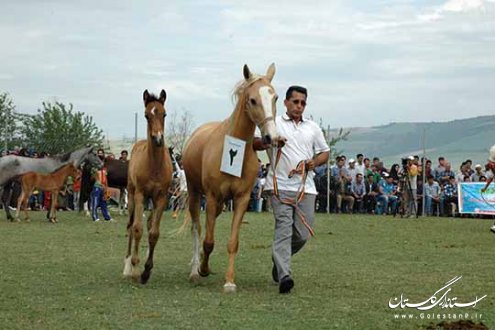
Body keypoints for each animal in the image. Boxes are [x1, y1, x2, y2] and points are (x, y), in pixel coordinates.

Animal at [123, 89, 173, 284]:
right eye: (146, 115)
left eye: (164, 114)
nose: (158, 138)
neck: (154, 166)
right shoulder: (140, 195)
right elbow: (137, 229)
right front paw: (135, 269)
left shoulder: (161, 198)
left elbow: (153, 233)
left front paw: (146, 270)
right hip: (131, 196)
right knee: (130, 226)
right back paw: (127, 265)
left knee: (150, 222)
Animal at [184, 63, 280, 292]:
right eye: (252, 99)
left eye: (275, 98)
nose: (271, 137)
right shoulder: (211, 197)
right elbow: (209, 240)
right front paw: (203, 269)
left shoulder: (241, 199)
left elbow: (232, 242)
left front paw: (229, 281)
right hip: (194, 192)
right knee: (197, 228)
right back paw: (195, 270)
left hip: (220, 203)